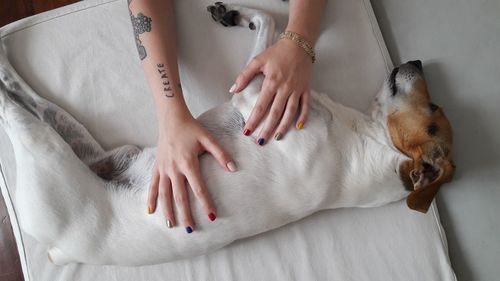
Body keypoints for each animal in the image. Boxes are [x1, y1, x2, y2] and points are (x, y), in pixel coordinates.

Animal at [0, 3, 456, 264]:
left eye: (435, 111)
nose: (417, 59)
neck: (373, 147)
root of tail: (60, 251)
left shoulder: (252, 97)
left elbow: (268, 40)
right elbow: (270, 23)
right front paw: (234, 13)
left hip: (48, 156)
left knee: (14, 109)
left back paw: (2, 64)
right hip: (87, 144)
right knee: (36, 103)